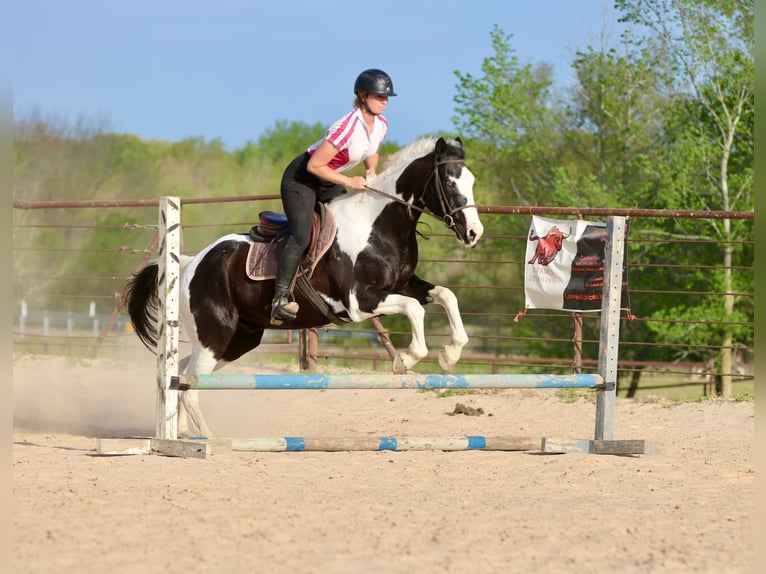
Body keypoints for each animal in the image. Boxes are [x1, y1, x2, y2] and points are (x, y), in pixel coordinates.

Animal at [124, 136, 484, 437]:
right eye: (449, 181)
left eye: (471, 181)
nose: (474, 233)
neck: (379, 223)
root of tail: (191, 262)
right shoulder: (360, 302)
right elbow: (415, 310)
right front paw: (406, 360)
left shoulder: (404, 284)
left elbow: (445, 296)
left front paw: (449, 355)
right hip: (216, 335)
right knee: (191, 385)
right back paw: (208, 439)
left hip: (238, 340)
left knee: (184, 375)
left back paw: (182, 431)